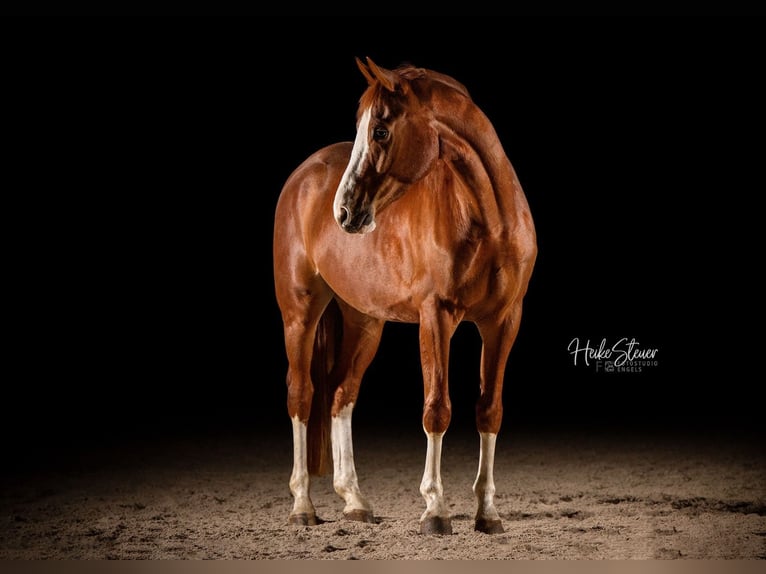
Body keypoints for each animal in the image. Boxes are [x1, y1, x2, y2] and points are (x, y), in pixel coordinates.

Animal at [272, 57, 536, 536]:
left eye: (379, 130)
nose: (343, 211)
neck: (488, 219)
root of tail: (305, 173)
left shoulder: (505, 321)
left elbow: (490, 410)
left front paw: (488, 512)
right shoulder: (437, 316)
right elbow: (437, 408)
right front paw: (435, 509)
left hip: (365, 322)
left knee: (341, 393)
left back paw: (355, 500)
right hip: (299, 312)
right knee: (301, 394)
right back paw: (303, 505)